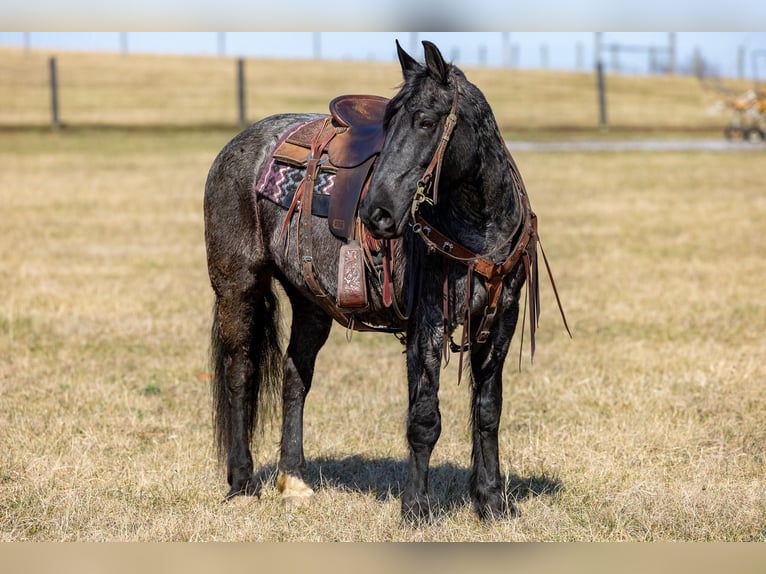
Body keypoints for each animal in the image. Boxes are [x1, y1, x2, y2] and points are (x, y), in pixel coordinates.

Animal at [204, 39, 568, 528]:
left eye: (426, 121)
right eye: (388, 123)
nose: (376, 212)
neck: (481, 229)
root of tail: (238, 146)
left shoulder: (500, 321)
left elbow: (488, 410)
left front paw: (491, 502)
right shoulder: (427, 324)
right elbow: (424, 418)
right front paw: (416, 507)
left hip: (311, 303)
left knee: (295, 374)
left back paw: (294, 480)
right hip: (238, 286)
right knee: (240, 373)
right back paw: (242, 485)